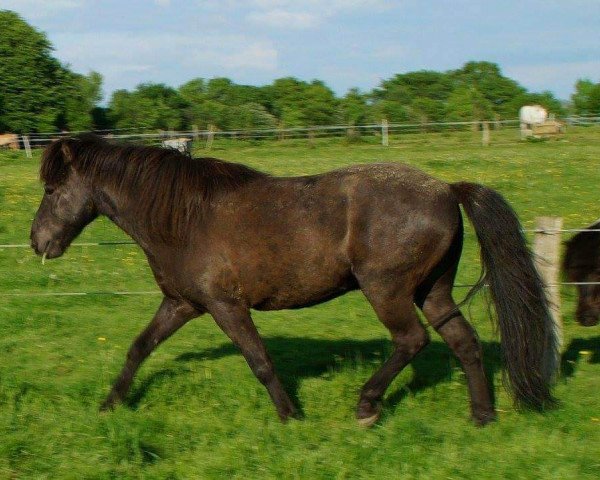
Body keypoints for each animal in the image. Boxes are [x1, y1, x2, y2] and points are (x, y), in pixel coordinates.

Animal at [31, 134, 556, 424]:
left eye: (53, 190)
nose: (38, 242)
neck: (183, 218)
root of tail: (447, 189)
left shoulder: (226, 306)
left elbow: (260, 361)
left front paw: (290, 416)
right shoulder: (181, 304)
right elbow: (139, 348)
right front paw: (110, 404)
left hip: (386, 290)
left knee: (412, 340)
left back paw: (366, 406)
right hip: (433, 291)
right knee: (463, 342)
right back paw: (482, 416)